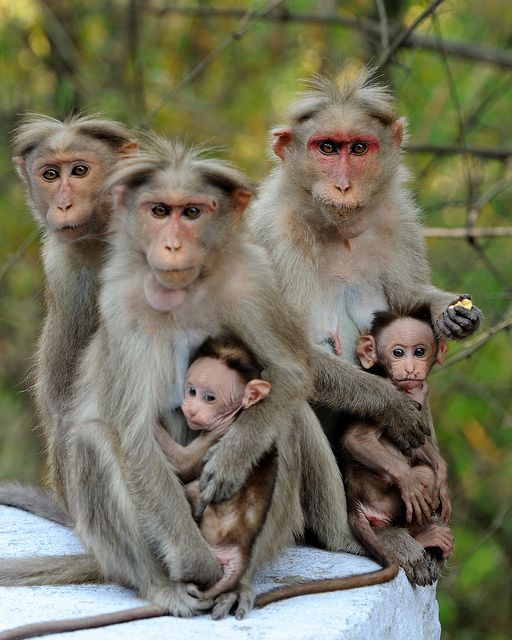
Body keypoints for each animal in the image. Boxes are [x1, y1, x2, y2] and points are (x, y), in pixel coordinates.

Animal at [156, 336, 276, 600]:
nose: (190, 408)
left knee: (192, 490)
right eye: (191, 391)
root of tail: (240, 547)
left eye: (209, 398)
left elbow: (183, 464)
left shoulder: (218, 433)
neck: (235, 415)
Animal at [344, 304, 452, 568]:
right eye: (398, 352)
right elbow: (356, 439)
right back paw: (422, 535)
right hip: (385, 503)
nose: (410, 369)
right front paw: (408, 480)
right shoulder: (389, 395)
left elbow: (416, 439)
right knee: (424, 475)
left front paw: (443, 472)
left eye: (420, 351)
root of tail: (354, 504)